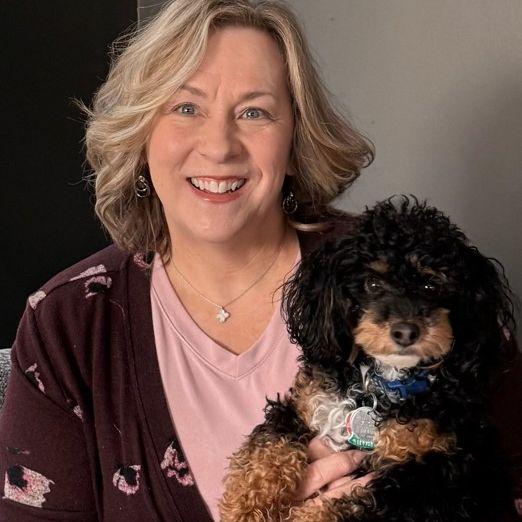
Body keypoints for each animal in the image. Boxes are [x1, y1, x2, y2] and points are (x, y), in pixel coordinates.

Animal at [219, 197, 517, 521]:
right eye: (373, 284)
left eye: (432, 285)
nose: (406, 331)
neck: (379, 385)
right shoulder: (303, 406)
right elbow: (268, 447)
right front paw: (246, 507)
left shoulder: (436, 477)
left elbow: (352, 505)